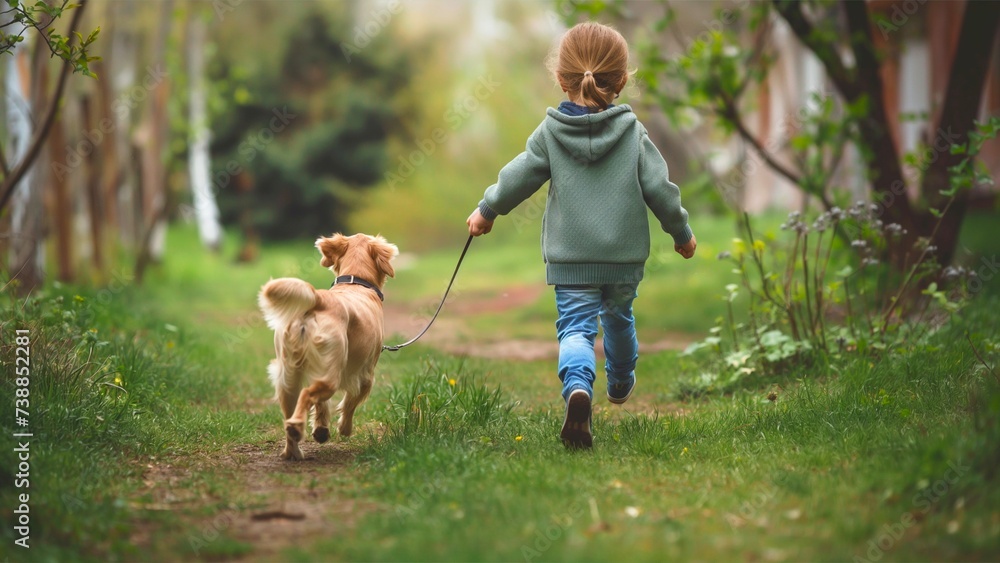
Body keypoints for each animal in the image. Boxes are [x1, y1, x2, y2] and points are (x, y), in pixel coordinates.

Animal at [258, 231, 398, 460]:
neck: (355, 283)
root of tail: (318, 299)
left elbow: (323, 406)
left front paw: (321, 430)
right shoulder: (365, 376)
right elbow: (350, 403)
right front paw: (344, 428)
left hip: (288, 377)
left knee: (292, 410)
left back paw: (293, 451)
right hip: (332, 375)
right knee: (307, 396)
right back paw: (297, 428)